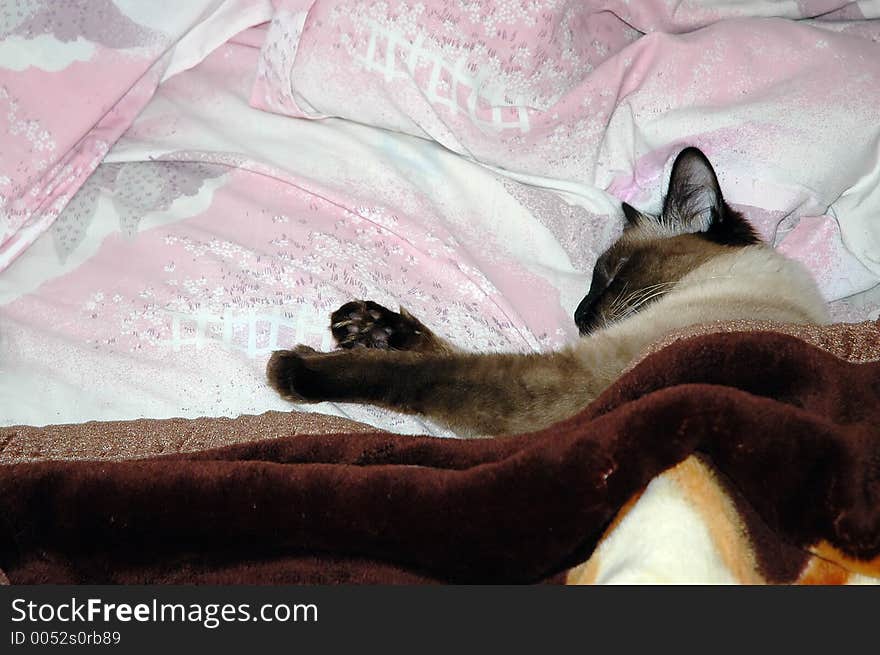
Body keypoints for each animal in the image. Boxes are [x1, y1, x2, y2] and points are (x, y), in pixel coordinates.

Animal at [264, 149, 828, 436]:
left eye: (611, 273)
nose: (578, 315)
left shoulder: (570, 381)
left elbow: (426, 375)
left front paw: (296, 369)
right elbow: (429, 351)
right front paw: (368, 326)